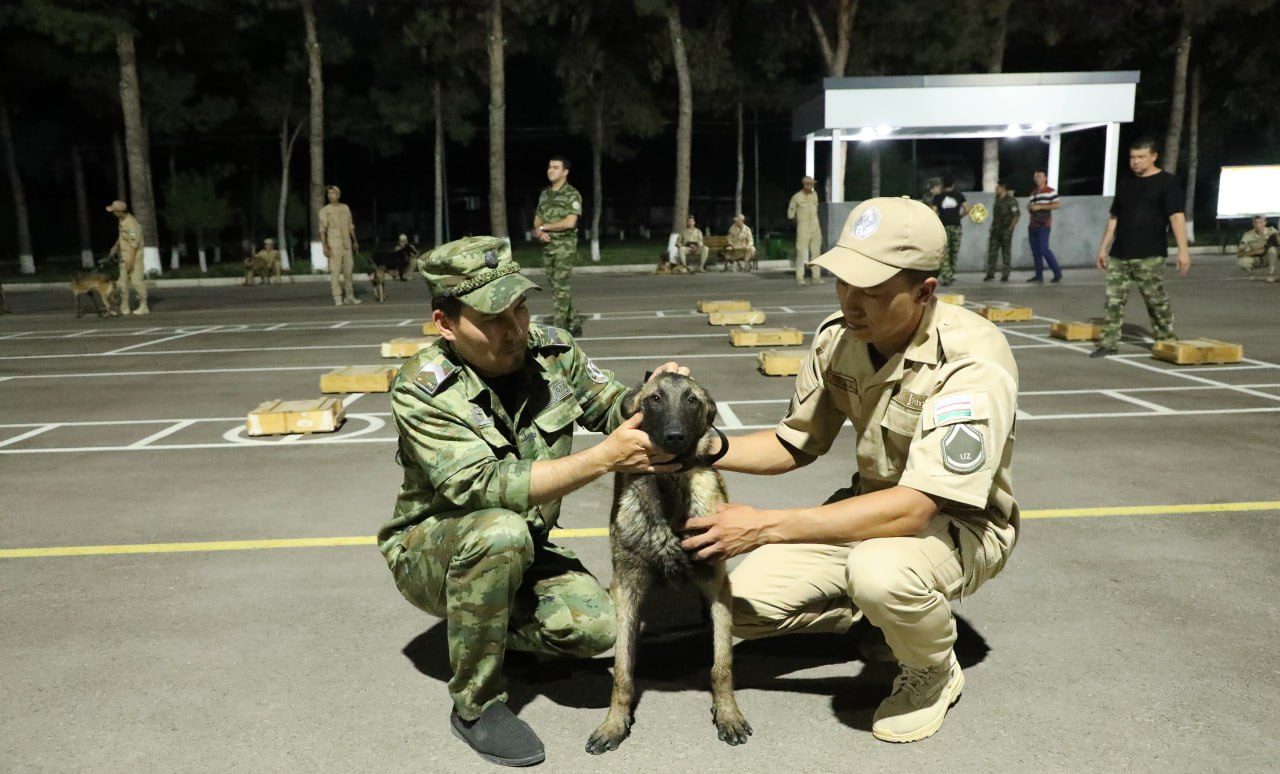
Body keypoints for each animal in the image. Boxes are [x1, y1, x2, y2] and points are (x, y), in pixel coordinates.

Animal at [586, 371, 752, 752]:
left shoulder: (717, 584)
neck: (671, 486)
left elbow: (722, 665)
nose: (675, 436)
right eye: (655, 399)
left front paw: (728, 713)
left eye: (692, 400)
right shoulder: (626, 588)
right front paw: (614, 723)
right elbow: (622, 671)